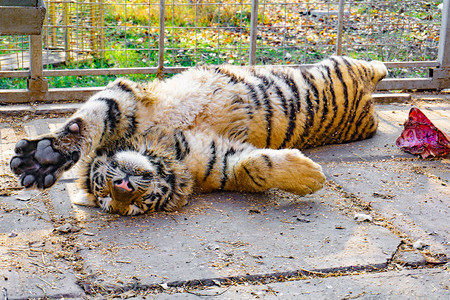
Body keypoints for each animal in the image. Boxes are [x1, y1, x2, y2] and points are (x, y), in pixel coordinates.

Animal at [9, 56, 386, 214]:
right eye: (111, 200)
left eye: (102, 184)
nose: (123, 187)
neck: (161, 144)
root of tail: (370, 108)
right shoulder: (220, 160)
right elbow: (252, 168)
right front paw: (310, 176)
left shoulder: (129, 97)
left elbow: (90, 118)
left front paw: (43, 159)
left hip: (340, 67)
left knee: (372, 65)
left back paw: (381, 67)